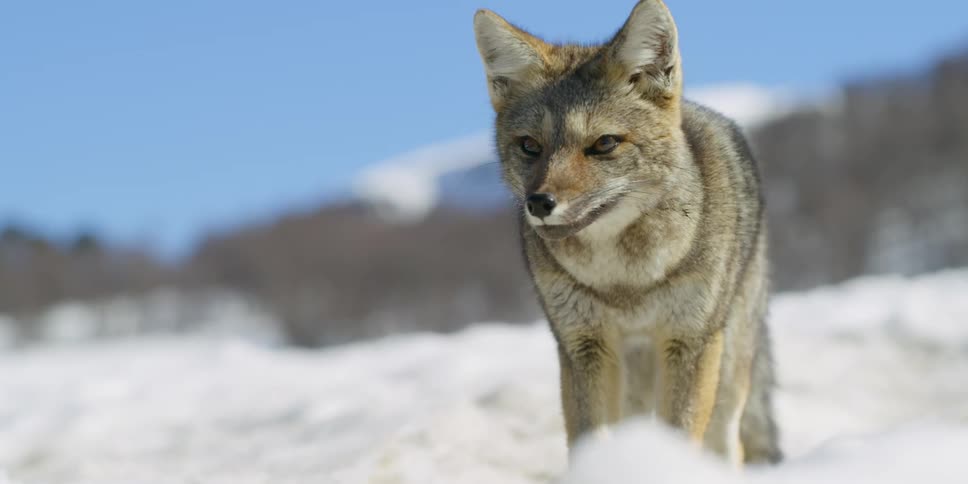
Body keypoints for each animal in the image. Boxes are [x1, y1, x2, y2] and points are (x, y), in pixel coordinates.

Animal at [472, 0, 782, 466]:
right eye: (530, 146)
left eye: (603, 144)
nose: (540, 204)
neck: (625, 282)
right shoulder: (583, 346)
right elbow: (587, 439)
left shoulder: (688, 341)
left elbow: (682, 434)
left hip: (727, 371)